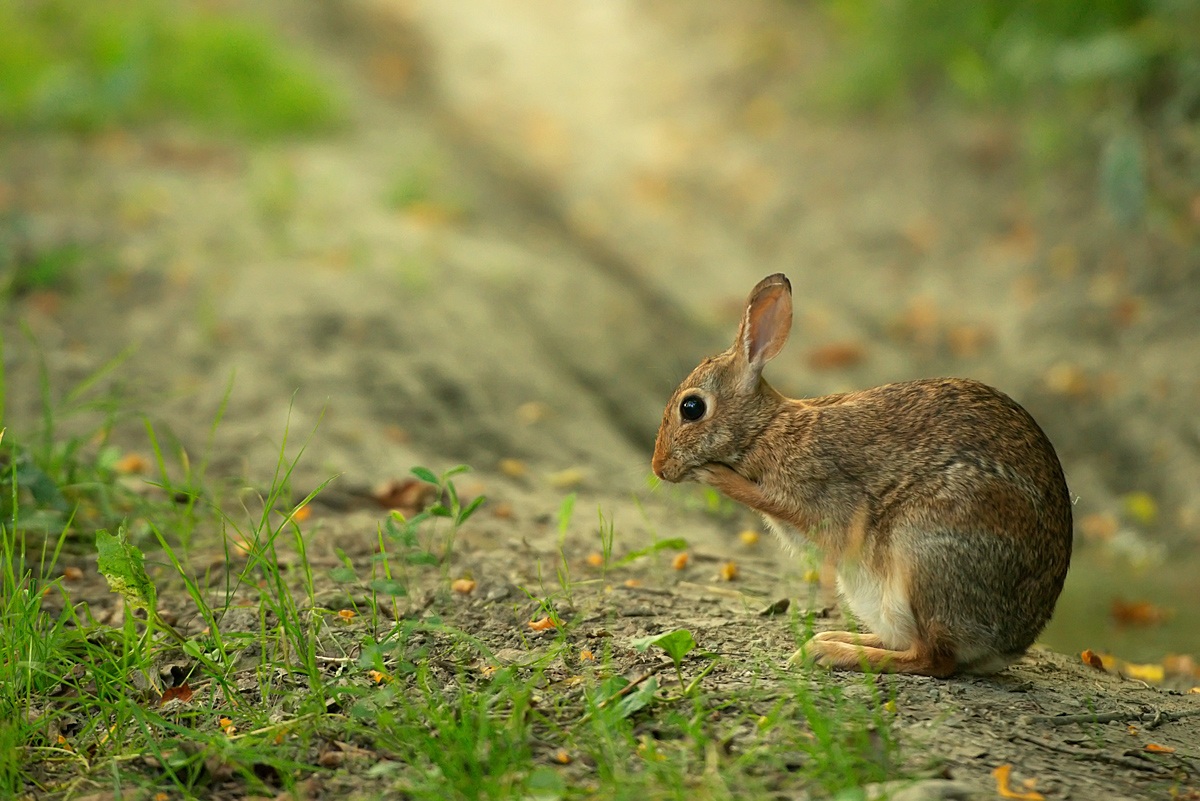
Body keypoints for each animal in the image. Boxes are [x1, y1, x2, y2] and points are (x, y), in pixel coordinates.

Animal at [651, 273, 1072, 677]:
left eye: (691, 408)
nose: (659, 467)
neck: (765, 429)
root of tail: (1008, 645)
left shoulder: (816, 495)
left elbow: (757, 493)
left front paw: (713, 474)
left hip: (922, 551)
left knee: (934, 660)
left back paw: (827, 651)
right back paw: (832, 639)